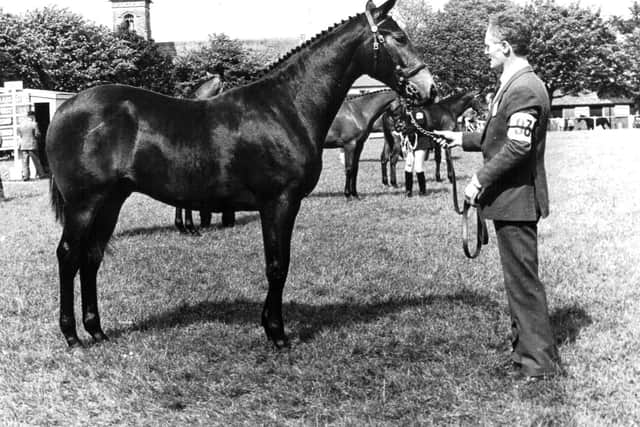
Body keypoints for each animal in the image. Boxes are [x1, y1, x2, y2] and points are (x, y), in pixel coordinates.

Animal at [46, 0, 436, 352]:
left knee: (91, 256)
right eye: (398, 37)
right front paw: (277, 333)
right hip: (84, 203)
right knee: (68, 255)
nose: (429, 88)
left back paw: (97, 331)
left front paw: (269, 326)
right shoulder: (279, 202)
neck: (286, 107)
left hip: (111, 201)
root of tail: (64, 109)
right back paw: (72, 335)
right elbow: (277, 265)